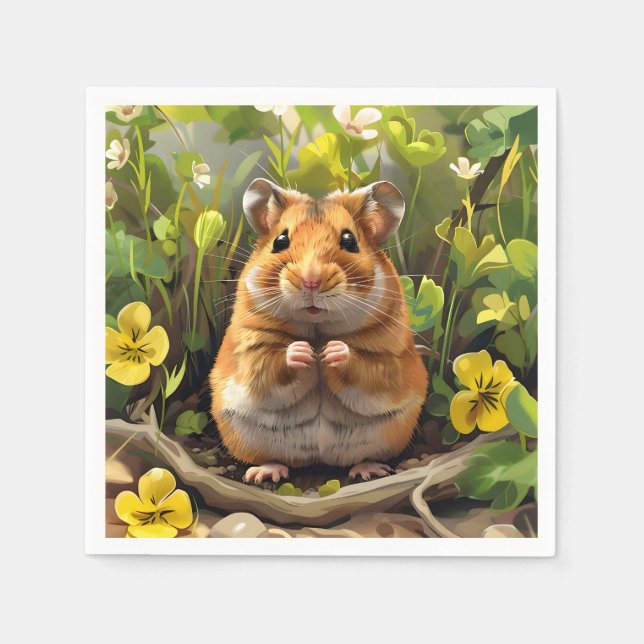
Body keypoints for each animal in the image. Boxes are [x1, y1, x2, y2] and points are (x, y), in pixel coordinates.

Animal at [209, 178, 428, 484]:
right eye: (280, 242)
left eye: (349, 241)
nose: (311, 281)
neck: (317, 329)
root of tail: (320, 458)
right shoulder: (249, 349)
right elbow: (269, 365)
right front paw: (303, 352)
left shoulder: (390, 356)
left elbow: (366, 368)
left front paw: (331, 352)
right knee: (272, 458)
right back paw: (265, 473)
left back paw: (368, 470)